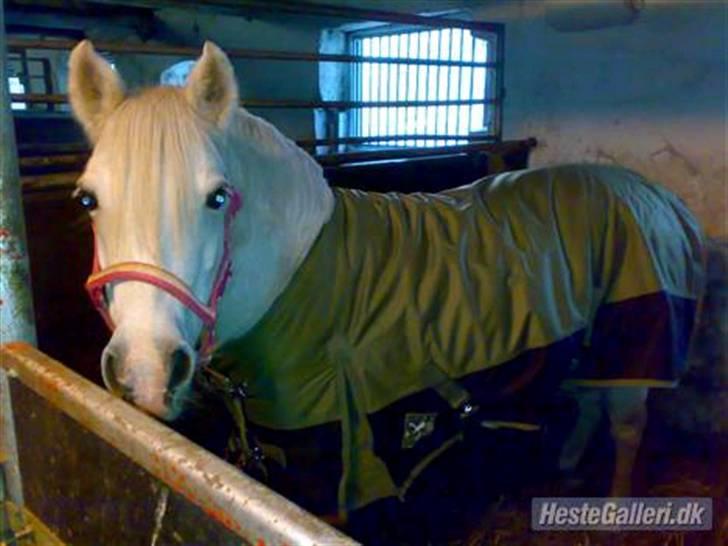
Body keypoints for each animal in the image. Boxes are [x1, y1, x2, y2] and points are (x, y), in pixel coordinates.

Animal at [67, 40, 705, 537]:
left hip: (635, 341)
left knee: (626, 427)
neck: (303, 282)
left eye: (216, 197)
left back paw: (612, 511)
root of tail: (651, 193)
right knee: (591, 401)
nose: (145, 372)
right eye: (88, 199)